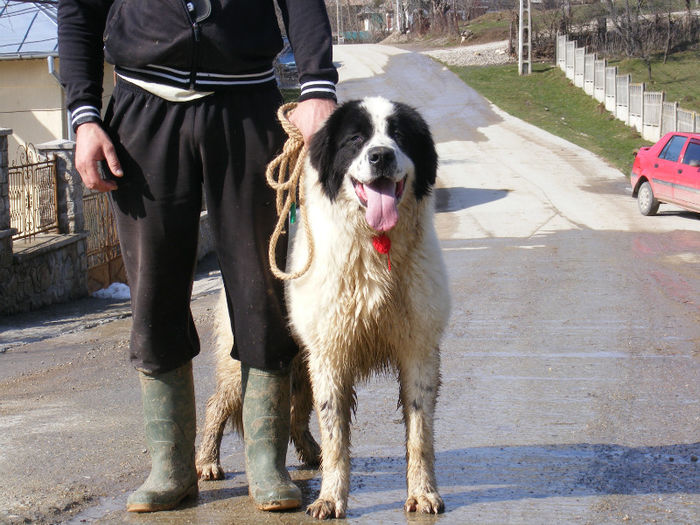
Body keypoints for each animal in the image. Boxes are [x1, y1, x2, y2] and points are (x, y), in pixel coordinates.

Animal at [197, 96, 448, 516]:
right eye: (356, 139)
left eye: (399, 136)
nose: (381, 155)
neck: (373, 247)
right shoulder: (331, 352)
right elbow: (337, 436)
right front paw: (331, 498)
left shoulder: (419, 350)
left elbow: (420, 432)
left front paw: (423, 492)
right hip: (249, 360)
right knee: (219, 403)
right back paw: (207, 461)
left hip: (301, 363)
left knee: (295, 412)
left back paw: (308, 453)